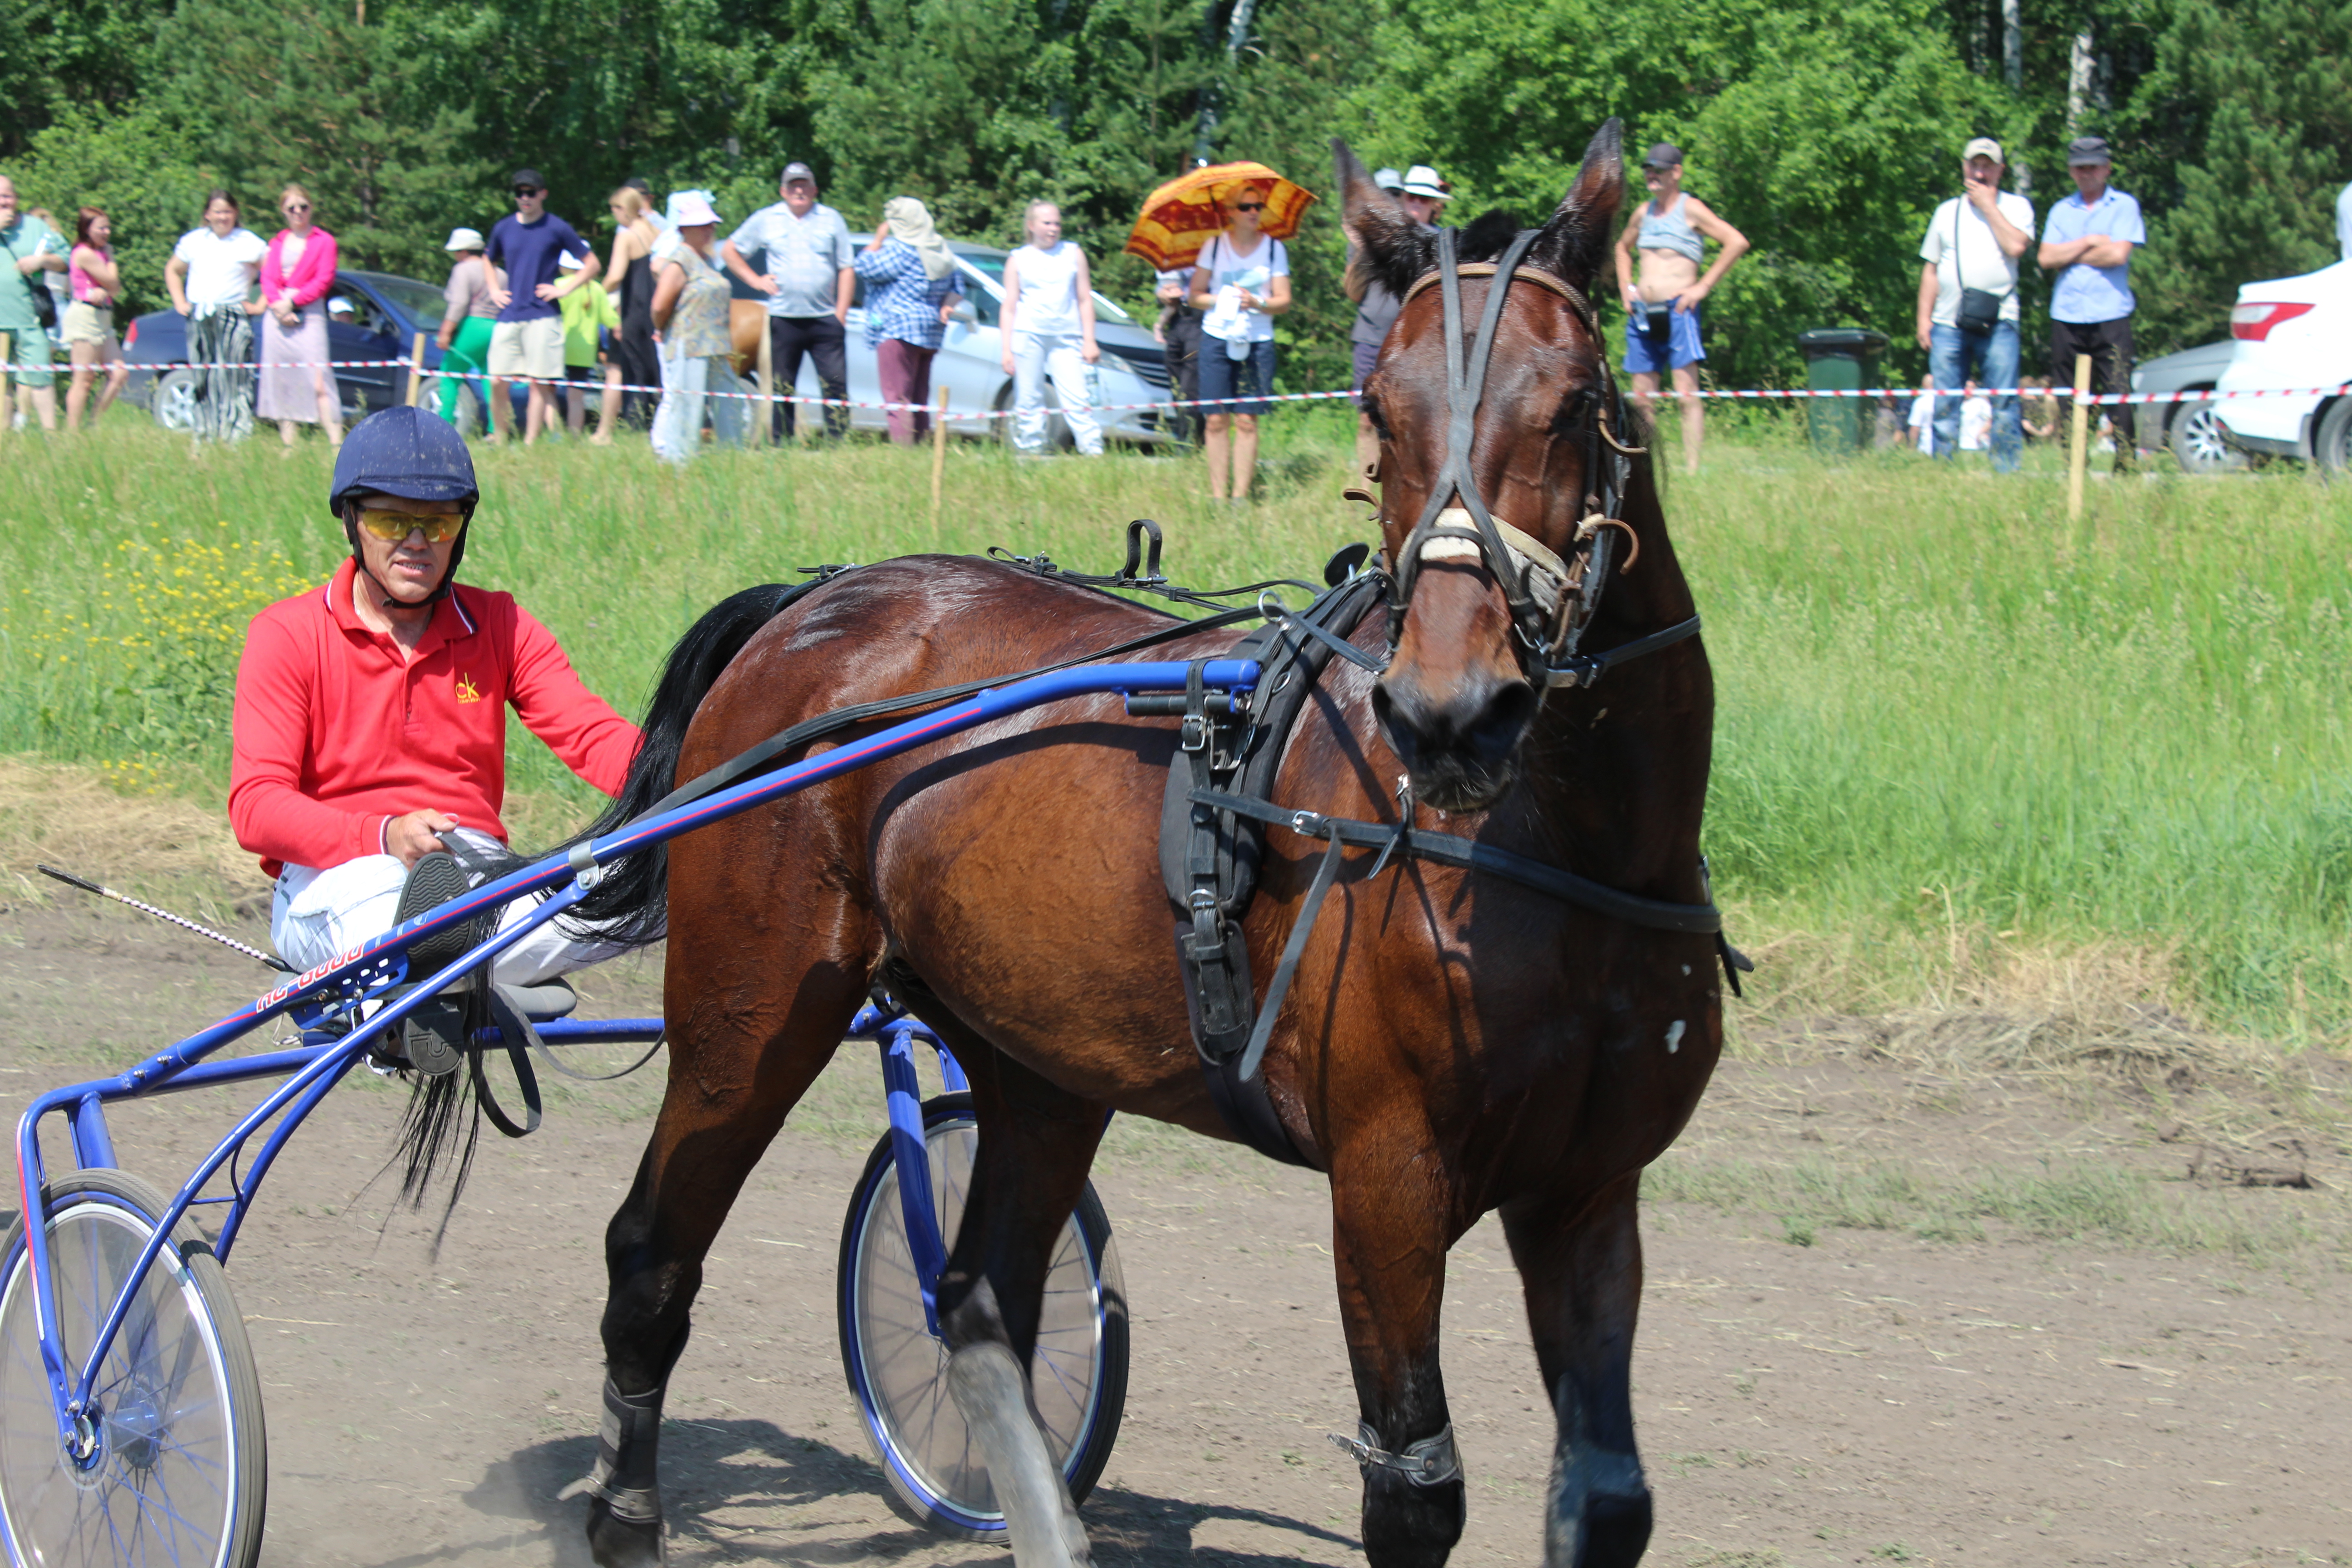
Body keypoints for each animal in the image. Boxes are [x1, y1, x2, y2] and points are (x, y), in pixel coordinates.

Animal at [557, 126, 1721, 1568]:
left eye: (1569, 402)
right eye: (1380, 409)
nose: (1449, 710)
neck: (1571, 857)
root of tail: (813, 604)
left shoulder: (1588, 1189)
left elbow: (1607, 1494)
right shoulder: (1388, 1180)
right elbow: (1414, 1488)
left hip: (1039, 1058)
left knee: (978, 1299)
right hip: (751, 1011)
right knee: (651, 1254)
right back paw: (624, 1508)